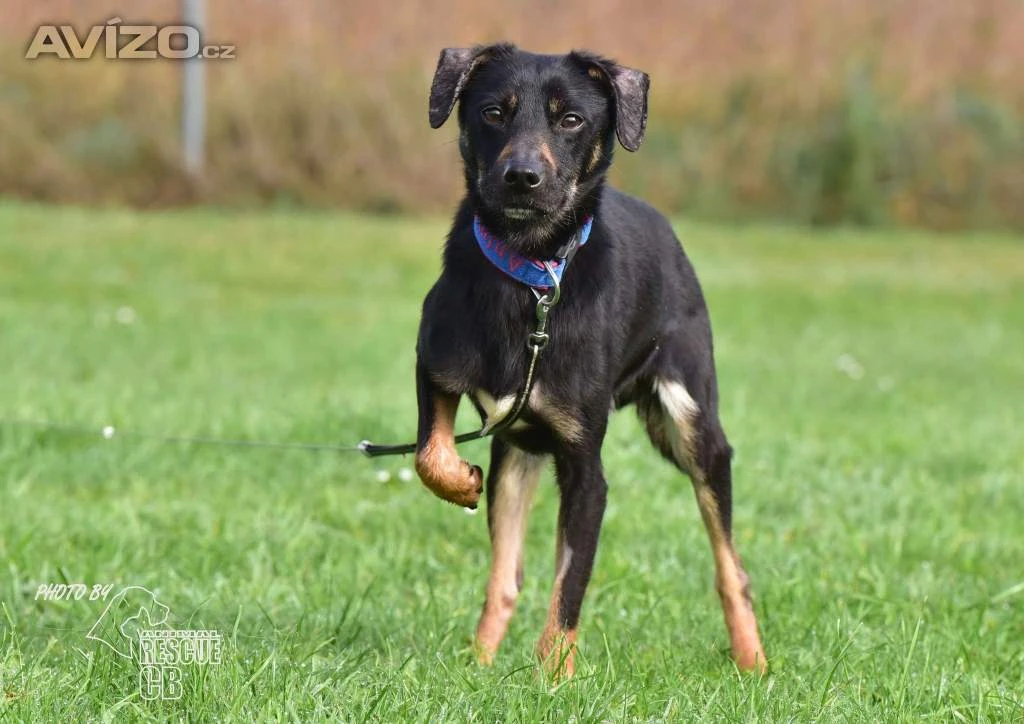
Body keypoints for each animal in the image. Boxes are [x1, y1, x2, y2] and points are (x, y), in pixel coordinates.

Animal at [413, 43, 766, 677]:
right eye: (494, 112)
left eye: (571, 119)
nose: (522, 177)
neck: (530, 279)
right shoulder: (436, 367)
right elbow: (430, 454)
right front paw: (459, 482)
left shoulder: (585, 468)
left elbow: (570, 585)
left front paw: (553, 678)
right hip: (519, 452)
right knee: (505, 576)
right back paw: (480, 660)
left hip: (691, 425)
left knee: (730, 563)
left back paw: (752, 660)